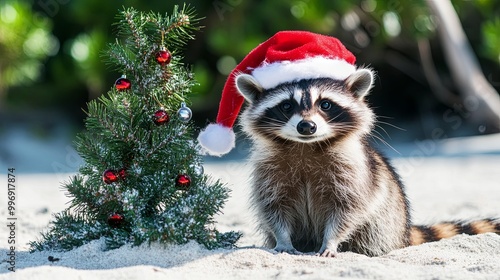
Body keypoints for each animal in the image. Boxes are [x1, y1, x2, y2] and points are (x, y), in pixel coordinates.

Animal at [235, 69, 500, 258]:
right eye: (286, 106)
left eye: (325, 104)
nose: (306, 126)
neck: (306, 146)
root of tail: (403, 233)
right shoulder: (269, 170)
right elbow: (273, 207)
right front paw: (283, 239)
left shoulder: (353, 171)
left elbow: (348, 209)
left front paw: (330, 240)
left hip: (383, 227)